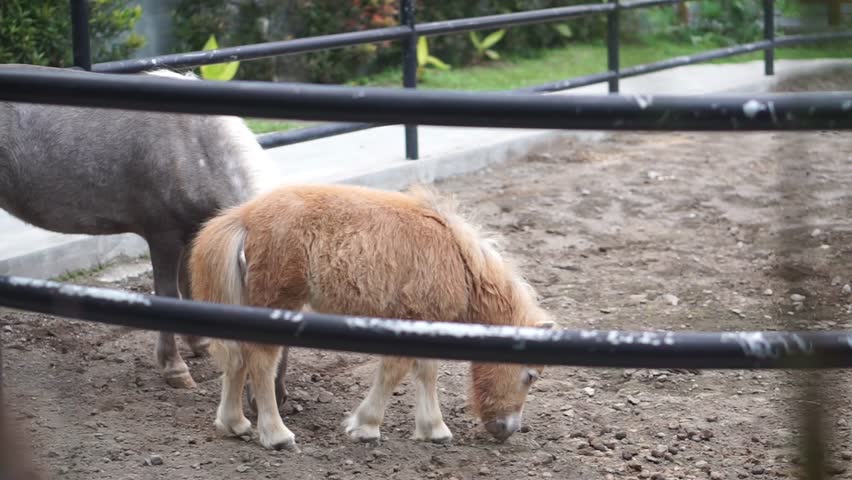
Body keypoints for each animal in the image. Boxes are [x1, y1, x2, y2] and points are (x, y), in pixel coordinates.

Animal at [0, 64, 288, 398]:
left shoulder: (192, 231)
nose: (273, 398)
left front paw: (199, 343)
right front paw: (174, 368)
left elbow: (189, 287)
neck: (195, 145)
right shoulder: (163, 236)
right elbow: (168, 294)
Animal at [188, 183, 555, 450]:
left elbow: (427, 371)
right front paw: (365, 426)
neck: (459, 261)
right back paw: (276, 435)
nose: (507, 430)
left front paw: (433, 429)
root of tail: (245, 216)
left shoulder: (426, 319)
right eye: (530, 376)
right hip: (277, 303)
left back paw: (234, 424)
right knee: (261, 362)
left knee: (237, 358)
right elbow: (395, 370)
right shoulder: (411, 317)